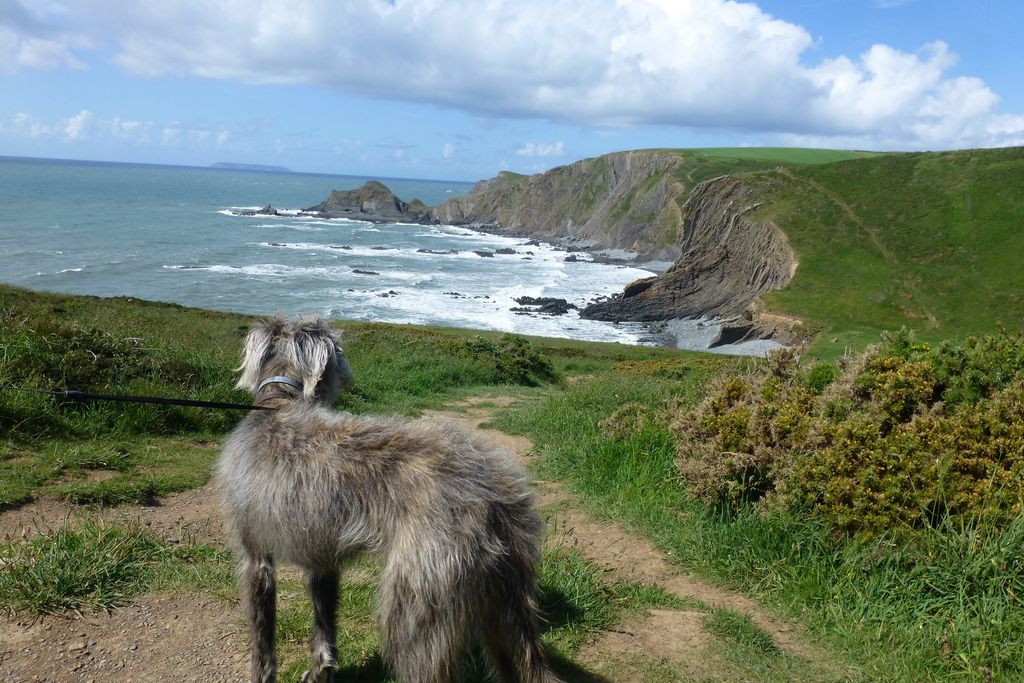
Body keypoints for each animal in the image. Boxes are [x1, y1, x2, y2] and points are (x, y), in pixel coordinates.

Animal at [215, 317, 561, 683]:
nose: (348, 377)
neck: (278, 403)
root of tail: (494, 493)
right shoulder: (322, 557)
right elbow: (324, 631)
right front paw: (321, 670)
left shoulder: (256, 558)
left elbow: (262, 642)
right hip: (503, 598)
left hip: (417, 603)